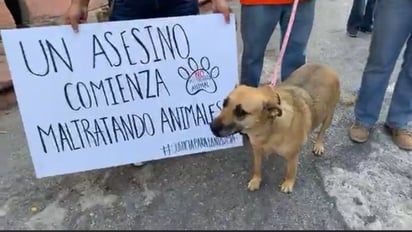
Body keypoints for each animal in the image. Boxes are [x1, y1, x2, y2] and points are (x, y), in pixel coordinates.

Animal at [211, 63, 340, 192]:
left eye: (241, 112)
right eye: (224, 103)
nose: (212, 127)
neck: (267, 128)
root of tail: (324, 66)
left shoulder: (293, 155)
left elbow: (291, 171)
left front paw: (288, 183)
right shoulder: (256, 150)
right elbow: (257, 167)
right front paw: (256, 180)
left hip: (329, 115)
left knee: (322, 131)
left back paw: (318, 145)